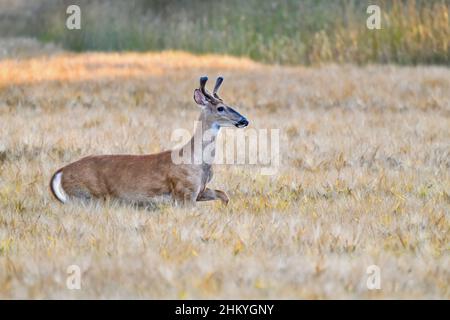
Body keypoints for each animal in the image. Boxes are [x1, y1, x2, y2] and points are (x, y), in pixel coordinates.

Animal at [49, 76, 250, 205]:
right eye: (221, 108)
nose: (244, 120)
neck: (196, 161)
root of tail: (59, 173)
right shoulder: (184, 191)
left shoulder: (199, 190)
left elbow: (224, 195)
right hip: (88, 195)